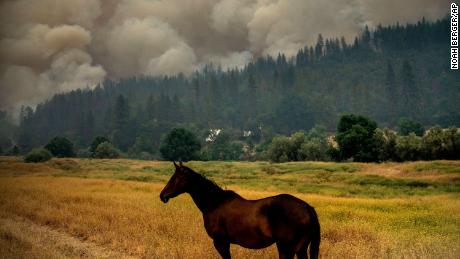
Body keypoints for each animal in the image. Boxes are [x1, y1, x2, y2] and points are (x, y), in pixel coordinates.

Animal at [161, 164, 320, 258]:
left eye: (175, 178)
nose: (162, 195)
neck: (215, 203)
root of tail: (308, 208)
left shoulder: (221, 242)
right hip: (299, 248)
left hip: (287, 248)